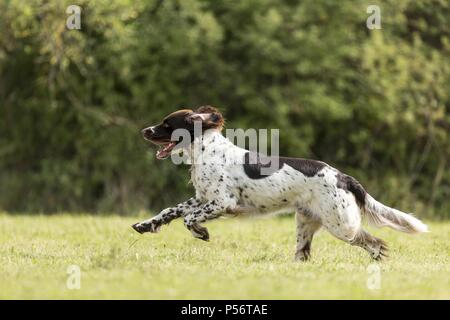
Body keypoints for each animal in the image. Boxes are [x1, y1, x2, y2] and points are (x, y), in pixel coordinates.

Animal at [132, 106, 428, 262]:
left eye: (167, 124)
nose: (144, 130)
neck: (206, 149)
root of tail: (344, 176)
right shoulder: (202, 197)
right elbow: (170, 211)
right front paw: (145, 225)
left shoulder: (222, 201)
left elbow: (188, 218)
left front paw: (201, 232)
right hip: (307, 222)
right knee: (304, 254)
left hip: (341, 224)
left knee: (373, 242)